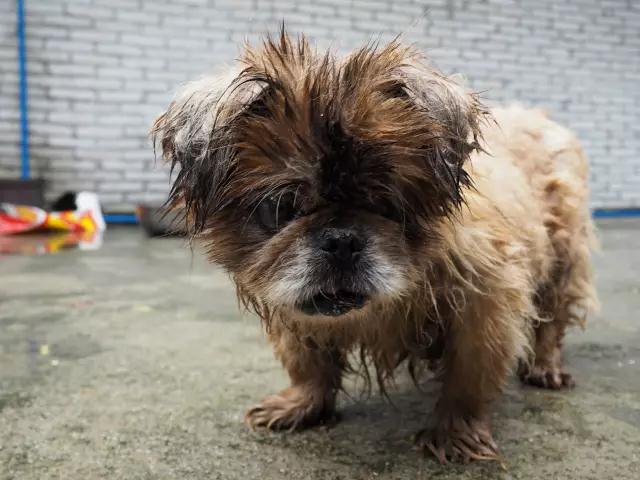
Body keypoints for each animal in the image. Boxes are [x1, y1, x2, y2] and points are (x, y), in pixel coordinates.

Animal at [152, 31, 598, 463]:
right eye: (281, 207)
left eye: (388, 205)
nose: (341, 239)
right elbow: (306, 362)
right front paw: (303, 404)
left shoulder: (485, 306)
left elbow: (469, 376)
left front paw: (454, 432)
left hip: (563, 259)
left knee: (552, 319)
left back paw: (545, 366)